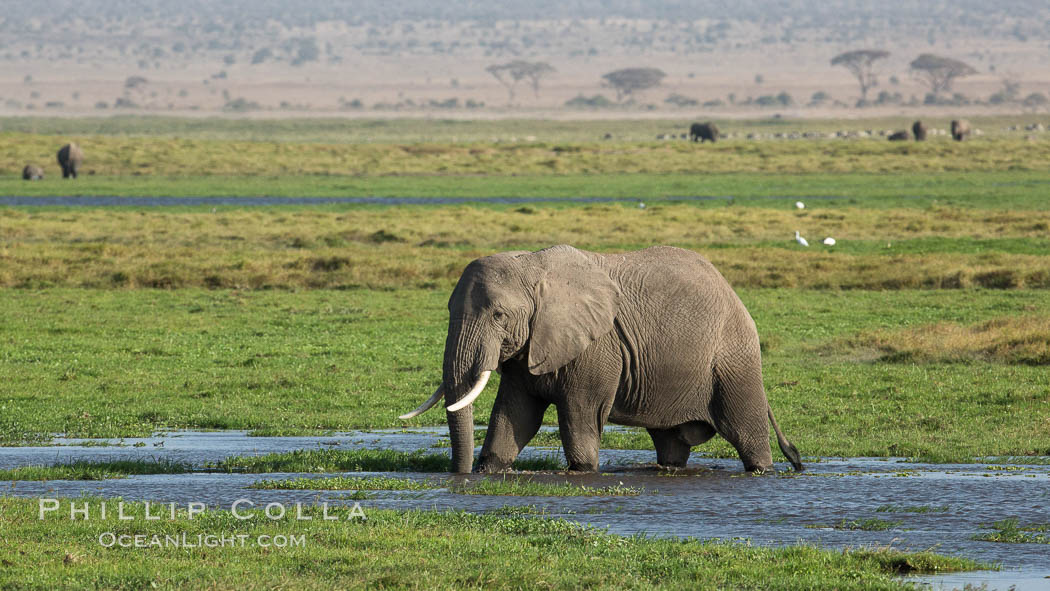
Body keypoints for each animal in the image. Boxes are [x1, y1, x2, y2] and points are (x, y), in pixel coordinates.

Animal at [398, 245, 802, 476]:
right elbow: (516, 415)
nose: (460, 475)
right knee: (671, 443)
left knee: (746, 432)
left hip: (734, 359)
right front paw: (490, 469)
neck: (533, 267)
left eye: (498, 315)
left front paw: (582, 470)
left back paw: (762, 471)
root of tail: (731, 290)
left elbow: (580, 413)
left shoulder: (597, 347)